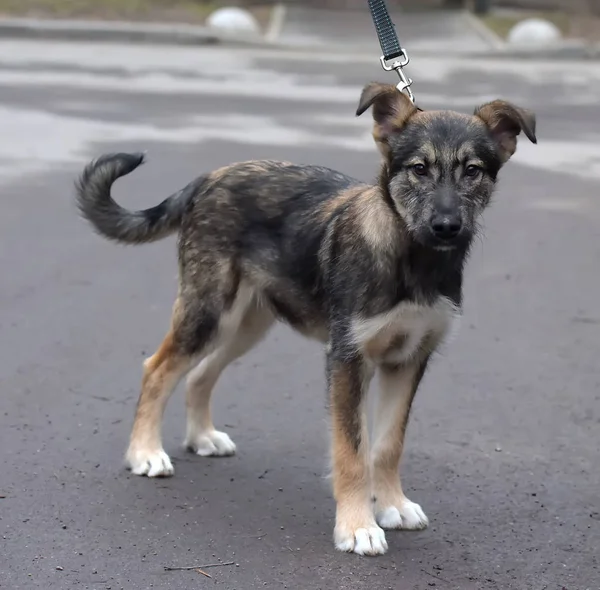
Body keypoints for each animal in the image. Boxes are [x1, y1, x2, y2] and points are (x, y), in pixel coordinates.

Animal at [75, 83, 540, 560]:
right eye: (419, 169)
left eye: (473, 171)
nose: (446, 226)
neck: (412, 261)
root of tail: (209, 178)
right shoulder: (348, 359)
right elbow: (352, 451)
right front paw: (358, 526)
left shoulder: (408, 359)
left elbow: (388, 444)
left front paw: (392, 505)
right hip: (208, 311)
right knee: (157, 369)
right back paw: (145, 453)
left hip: (246, 324)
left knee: (200, 373)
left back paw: (202, 437)